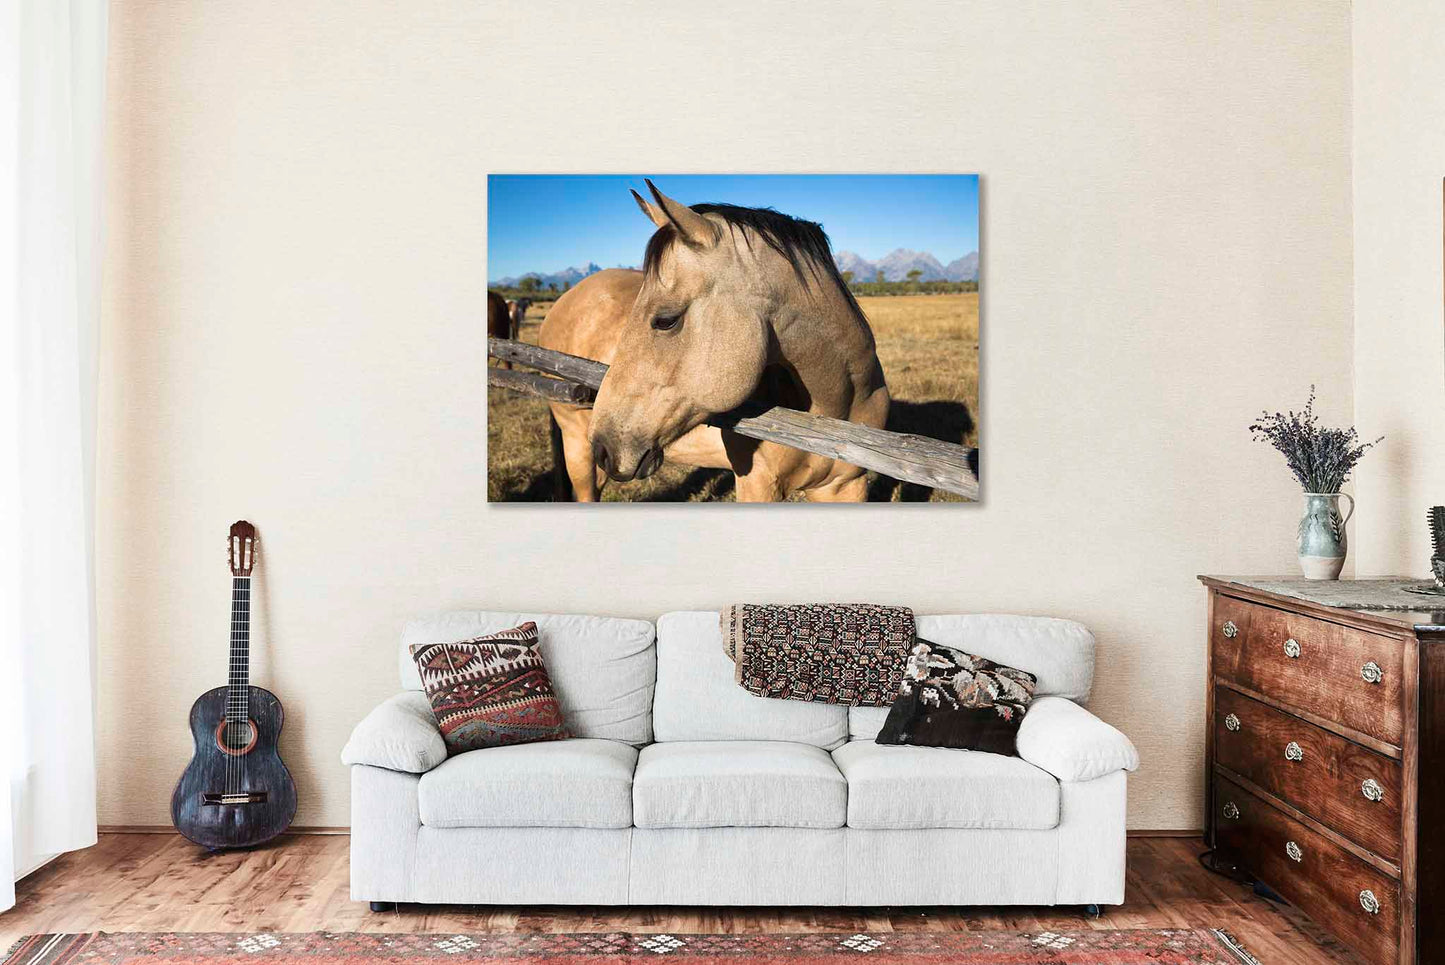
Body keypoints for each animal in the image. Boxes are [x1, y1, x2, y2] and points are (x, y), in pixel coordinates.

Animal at [539, 180, 890, 502]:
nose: (603, 446)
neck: (835, 407)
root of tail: (563, 302)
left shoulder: (845, 486)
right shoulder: (757, 484)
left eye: (665, 320)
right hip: (576, 445)